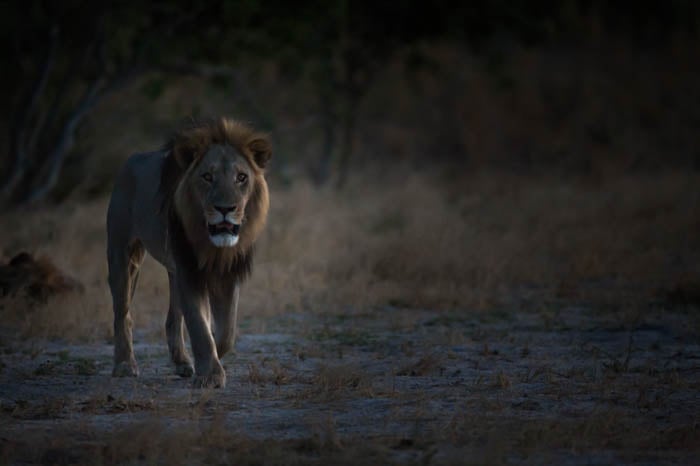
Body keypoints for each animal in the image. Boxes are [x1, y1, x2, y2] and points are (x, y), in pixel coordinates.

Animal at [106, 118, 271, 388]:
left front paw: (208, 359)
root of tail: (132, 159)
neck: (212, 246)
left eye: (241, 177)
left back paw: (182, 362)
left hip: (173, 271)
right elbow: (199, 326)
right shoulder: (190, 272)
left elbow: (226, 332)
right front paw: (211, 375)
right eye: (207, 176)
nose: (225, 209)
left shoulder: (227, 275)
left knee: (173, 317)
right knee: (123, 313)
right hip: (124, 255)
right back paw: (124, 365)